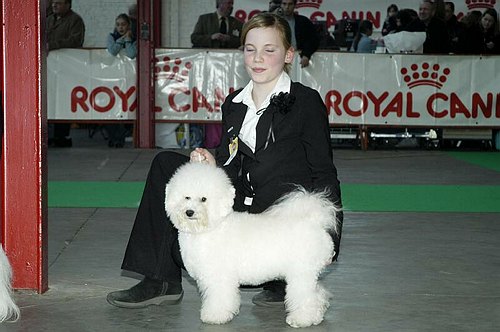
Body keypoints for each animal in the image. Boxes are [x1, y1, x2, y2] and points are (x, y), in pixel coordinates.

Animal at [164, 162, 340, 328]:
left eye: (203, 199)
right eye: (186, 197)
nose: (189, 212)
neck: (211, 228)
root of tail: (314, 222)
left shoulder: (219, 277)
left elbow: (219, 298)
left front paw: (215, 316)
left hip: (301, 273)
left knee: (305, 297)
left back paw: (302, 320)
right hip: (308, 274)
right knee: (317, 293)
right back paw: (316, 316)